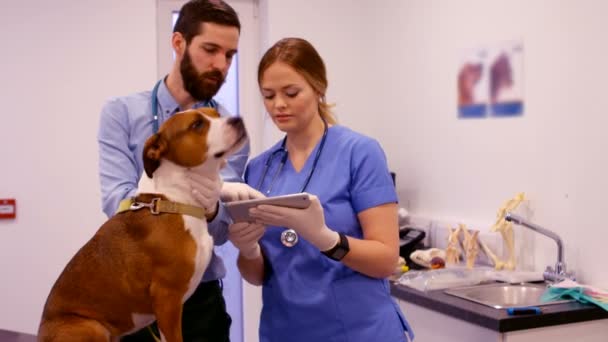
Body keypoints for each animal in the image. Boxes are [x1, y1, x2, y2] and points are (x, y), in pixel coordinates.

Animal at [37, 108, 247, 340]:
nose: (238, 120)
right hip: (91, 327)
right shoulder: (167, 299)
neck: (175, 201)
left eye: (216, 113)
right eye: (197, 125)